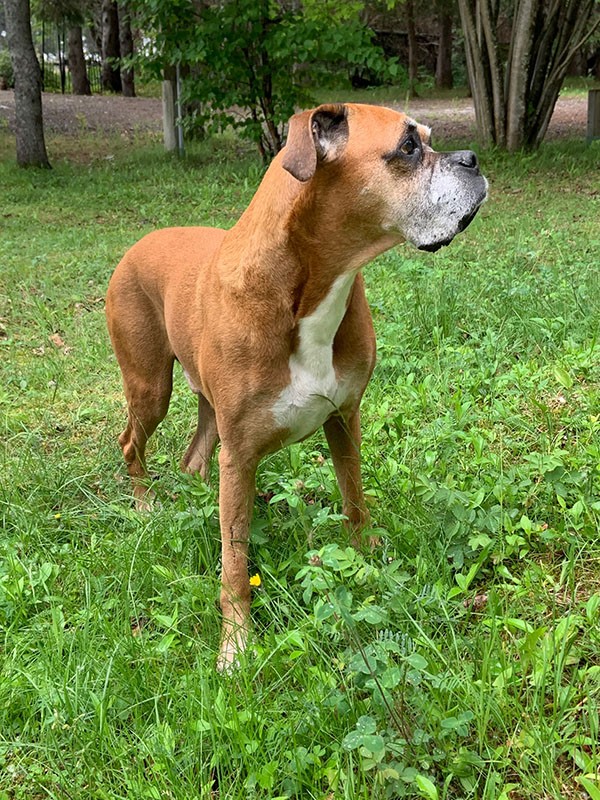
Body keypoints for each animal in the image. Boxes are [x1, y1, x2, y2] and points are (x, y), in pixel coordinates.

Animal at [104, 104, 488, 668]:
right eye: (408, 147)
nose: (472, 159)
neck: (308, 286)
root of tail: (137, 243)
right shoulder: (241, 455)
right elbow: (235, 563)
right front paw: (236, 646)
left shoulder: (344, 421)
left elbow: (354, 501)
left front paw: (367, 559)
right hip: (151, 388)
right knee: (132, 442)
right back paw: (145, 506)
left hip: (209, 414)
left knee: (194, 459)